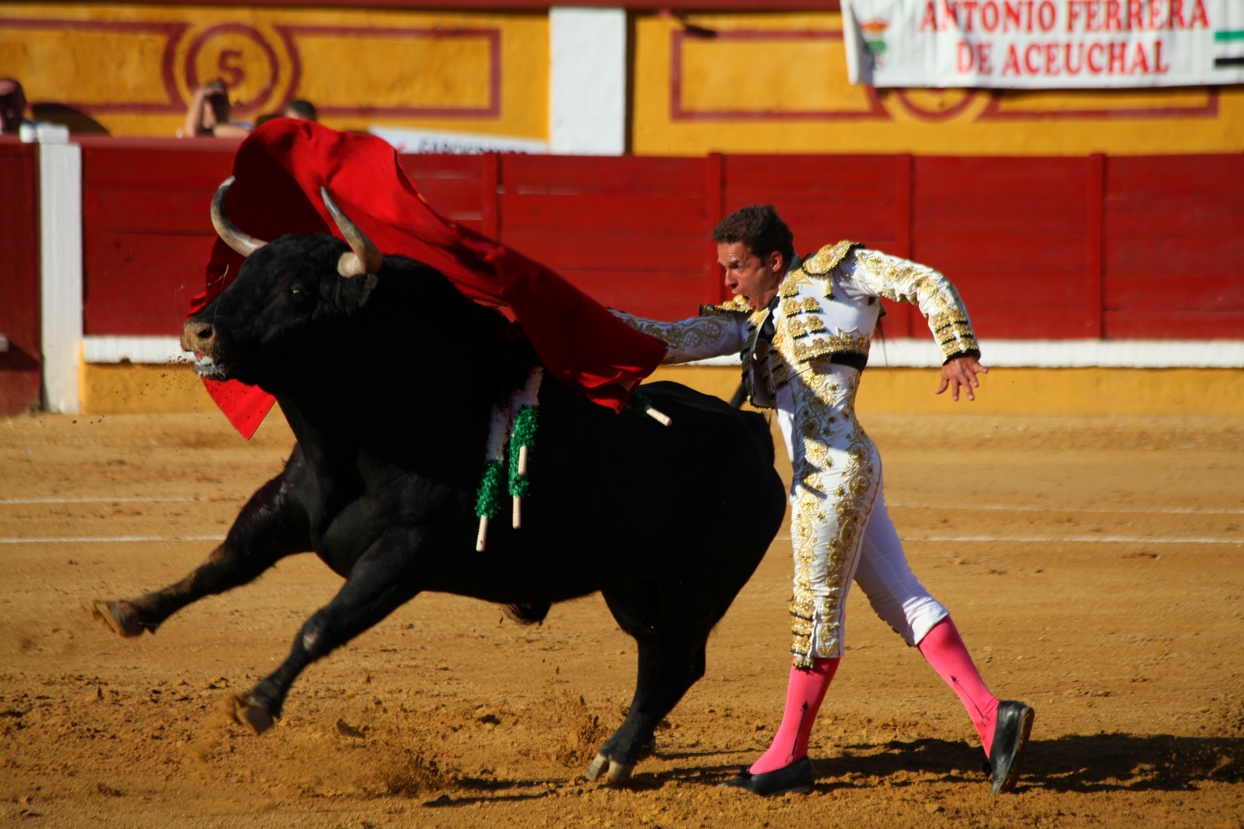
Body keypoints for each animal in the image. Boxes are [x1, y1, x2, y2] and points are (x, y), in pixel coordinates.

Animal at [92, 180, 781, 781]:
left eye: (296, 289)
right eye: (243, 273)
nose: (199, 330)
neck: (358, 440)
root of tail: (752, 436)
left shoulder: (405, 553)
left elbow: (321, 622)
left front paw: (259, 702)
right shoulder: (286, 506)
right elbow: (222, 564)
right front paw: (129, 609)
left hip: (700, 584)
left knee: (679, 661)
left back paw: (613, 757)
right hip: (633, 581)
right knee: (654, 654)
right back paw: (623, 752)